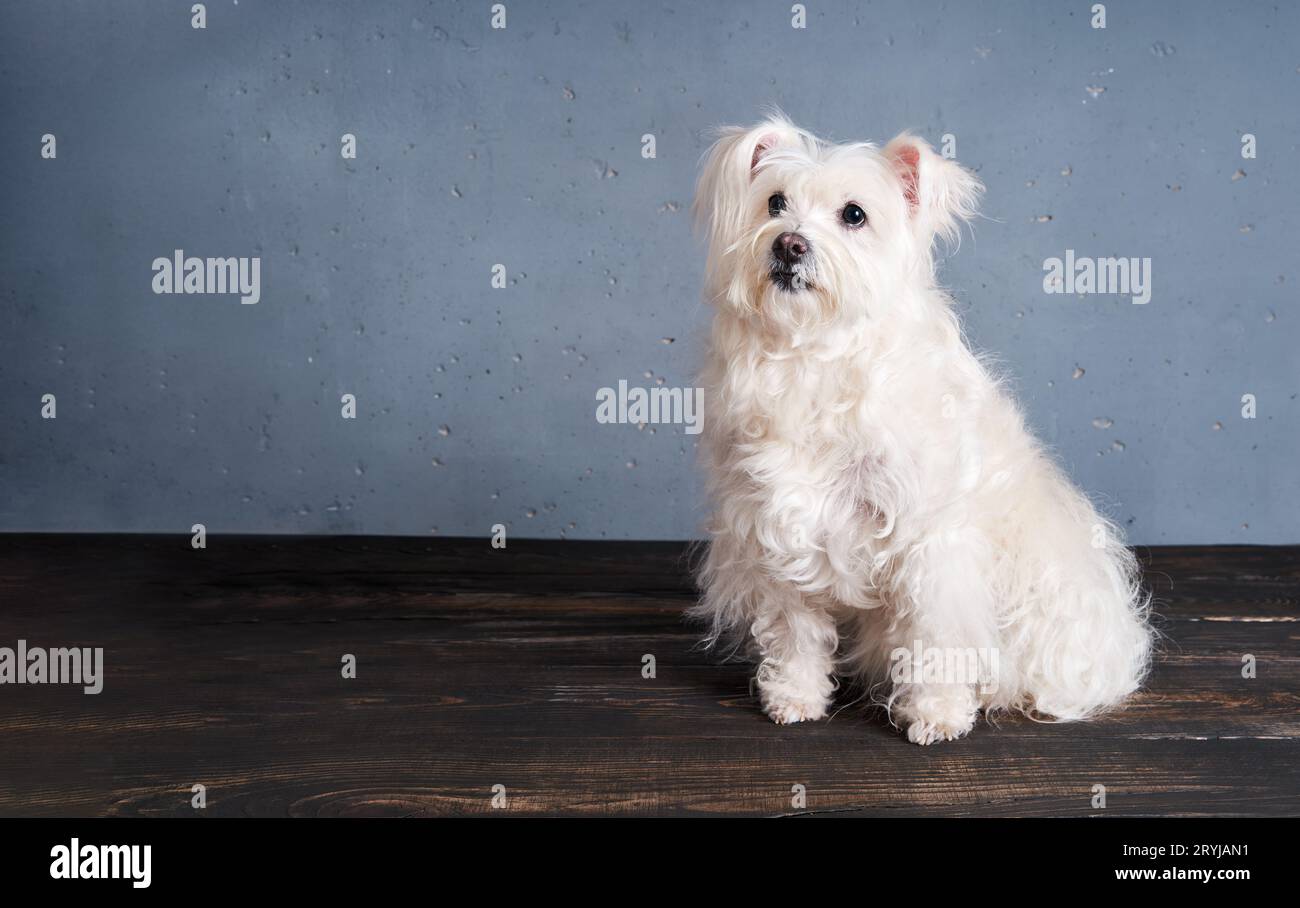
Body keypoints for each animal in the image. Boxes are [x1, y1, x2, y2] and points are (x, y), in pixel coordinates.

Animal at [696, 115, 1154, 744]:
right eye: (775, 202)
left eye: (854, 214)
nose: (789, 244)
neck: (817, 354)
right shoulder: (775, 528)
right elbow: (795, 631)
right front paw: (795, 696)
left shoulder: (931, 545)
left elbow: (937, 636)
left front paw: (936, 712)